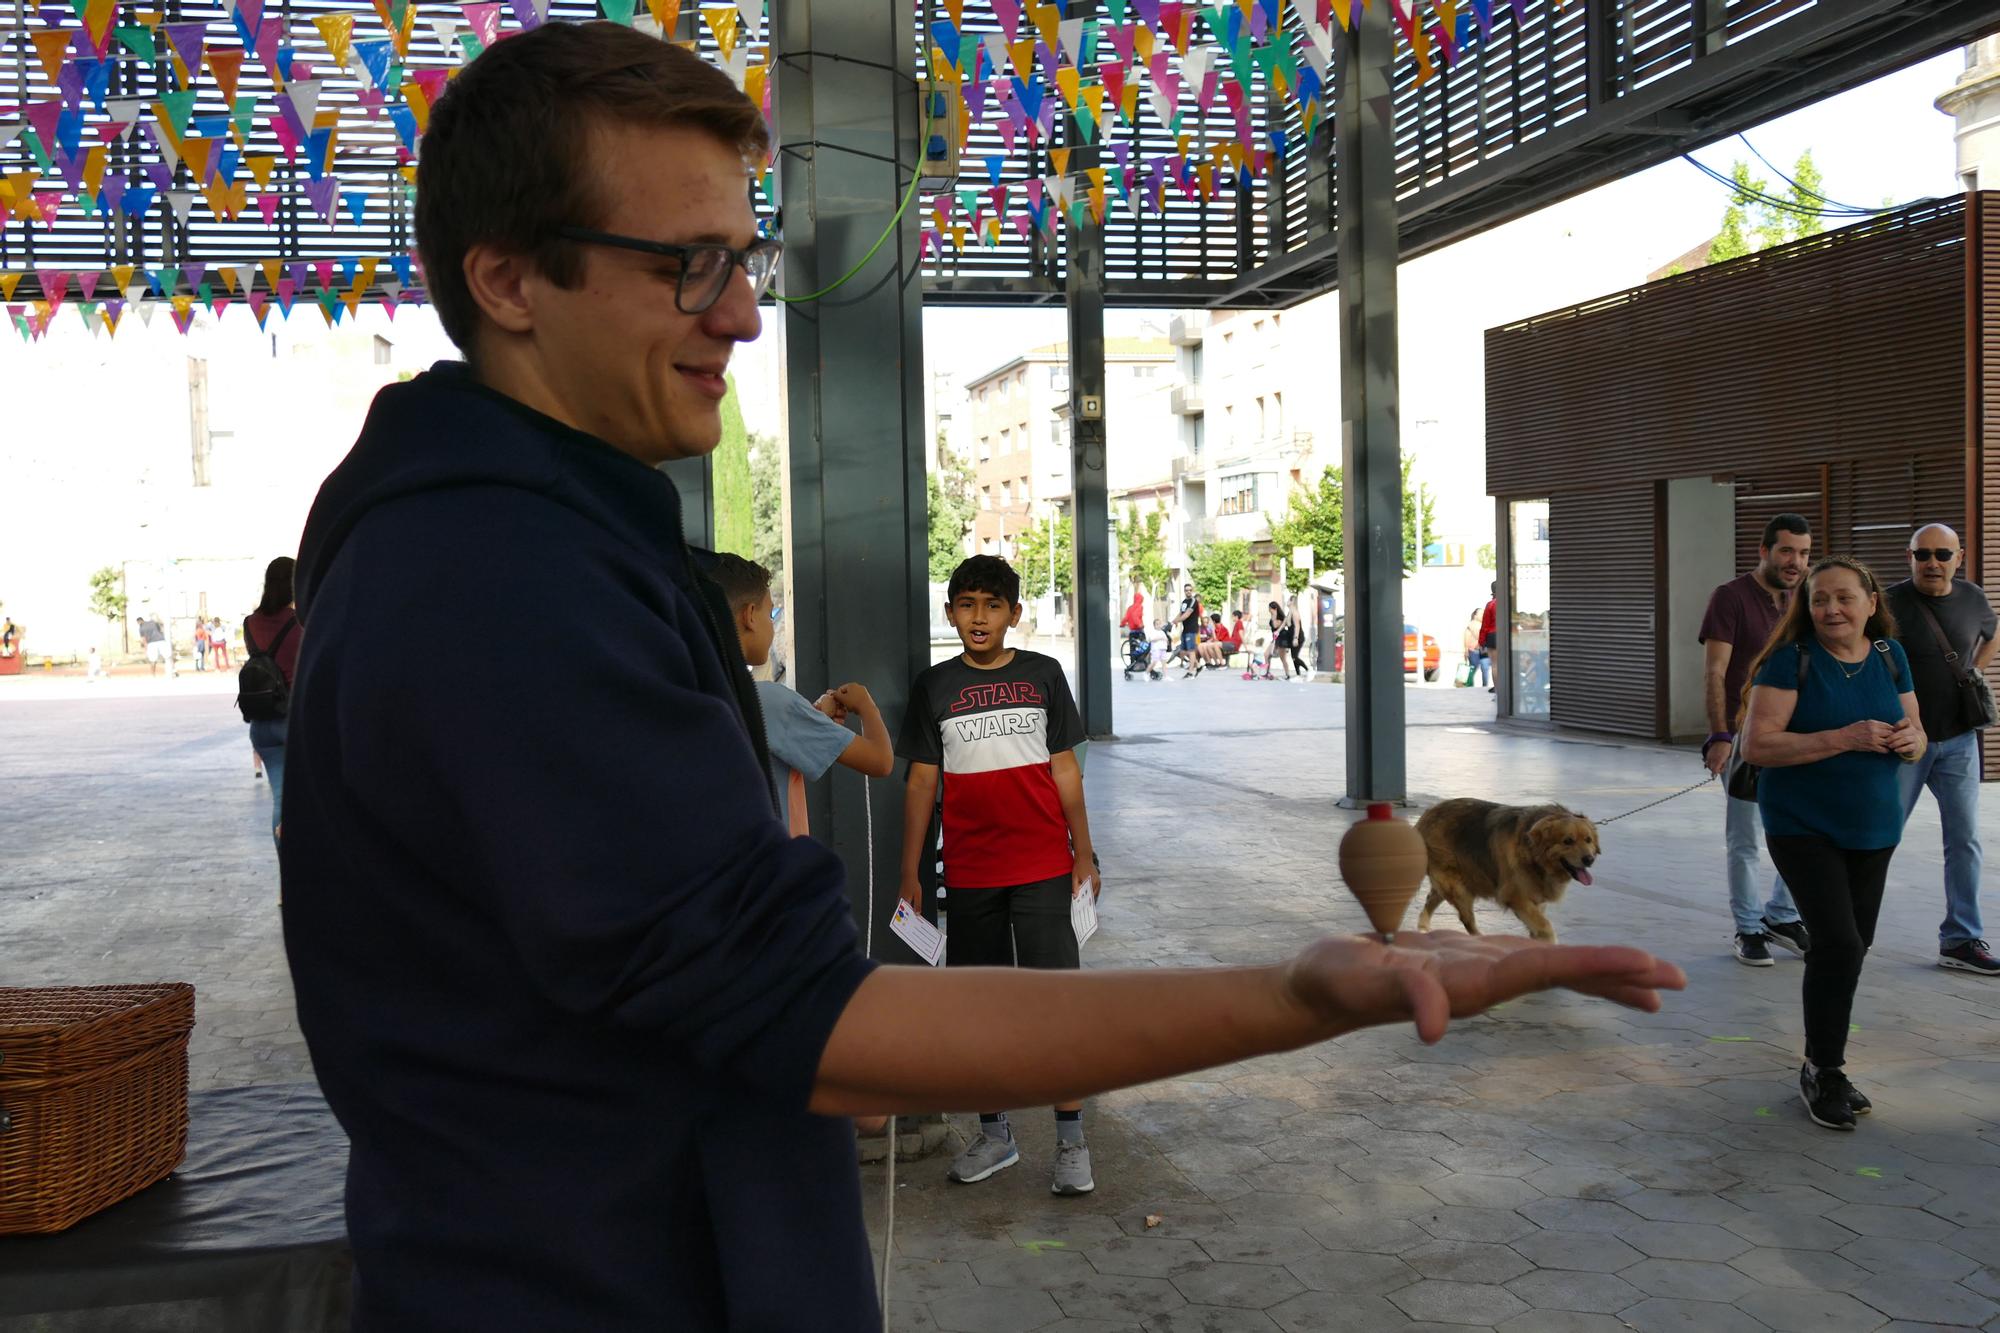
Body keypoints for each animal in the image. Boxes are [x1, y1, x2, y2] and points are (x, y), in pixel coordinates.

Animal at [1416, 792, 1600, 940]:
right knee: (1466, 919)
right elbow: (1545, 927)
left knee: (1431, 898)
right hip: (1458, 887)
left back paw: (1423, 928)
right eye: (1568, 841)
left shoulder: (1536, 900)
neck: (1533, 855)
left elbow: (1537, 926)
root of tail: (1426, 816)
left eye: (1588, 840)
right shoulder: (1515, 896)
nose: (1589, 859)